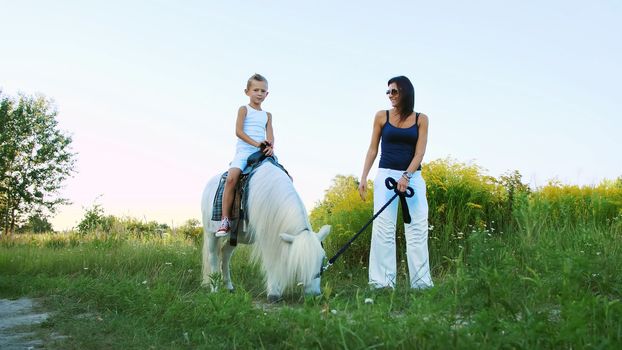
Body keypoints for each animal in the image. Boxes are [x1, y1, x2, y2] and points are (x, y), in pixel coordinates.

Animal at [204, 161, 332, 300]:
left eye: (322, 260)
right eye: (300, 264)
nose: (315, 295)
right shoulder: (266, 236)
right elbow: (271, 262)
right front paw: (273, 293)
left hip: (237, 237)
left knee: (225, 254)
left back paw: (229, 287)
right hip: (211, 234)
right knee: (213, 258)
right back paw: (215, 289)